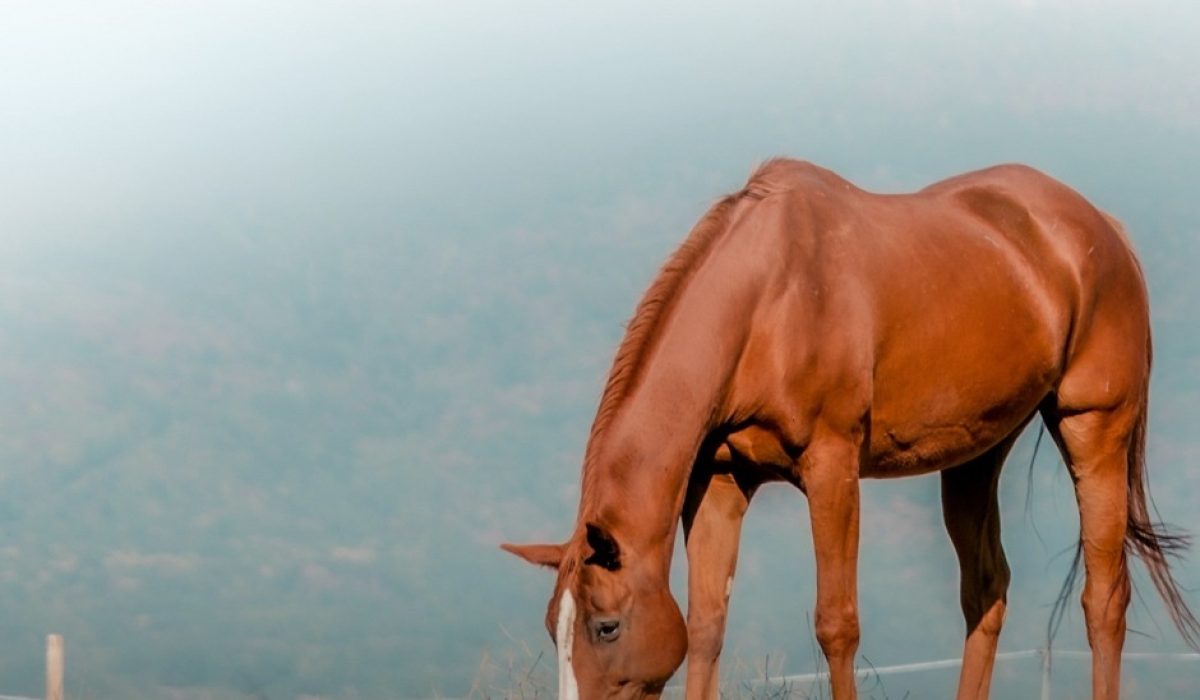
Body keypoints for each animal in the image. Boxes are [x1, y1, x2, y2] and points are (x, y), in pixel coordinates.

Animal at [502, 159, 1198, 700]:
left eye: (606, 627)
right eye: (552, 627)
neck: (767, 301)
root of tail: (1102, 227)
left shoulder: (831, 466)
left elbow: (836, 624)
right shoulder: (723, 478)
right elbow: (705, 626)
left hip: (1094, 427)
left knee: (1103, 600)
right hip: (975, 454)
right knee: (986, 591)